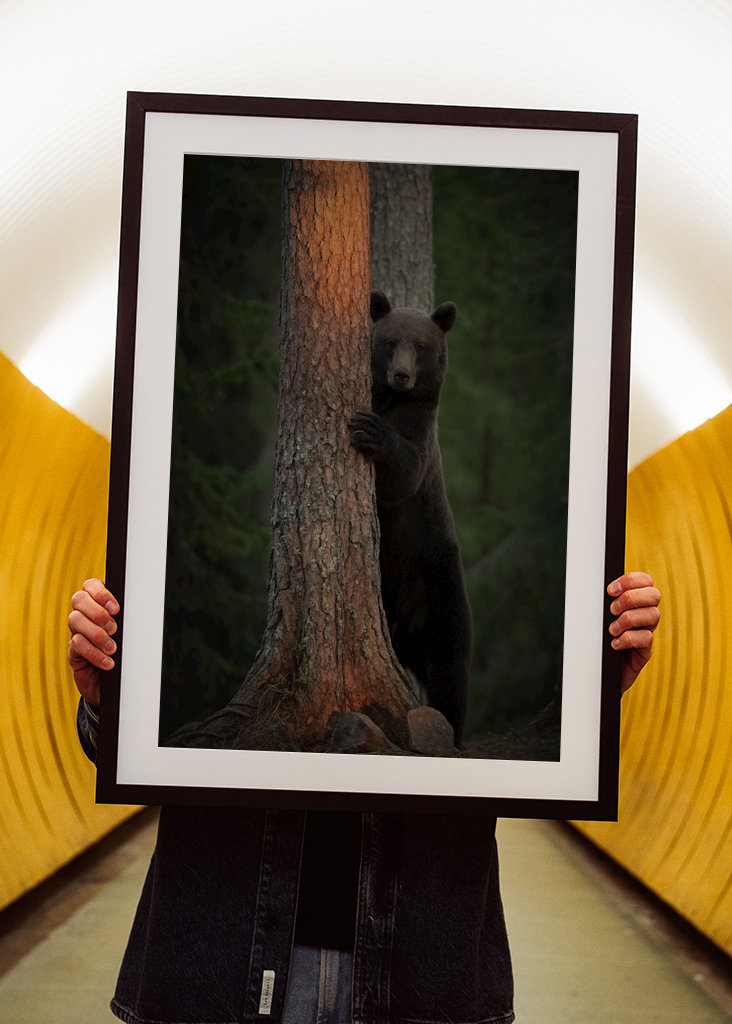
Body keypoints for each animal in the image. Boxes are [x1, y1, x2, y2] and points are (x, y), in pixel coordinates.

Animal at [349, 290, 472, 744]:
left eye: (420, 345)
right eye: (390, 342)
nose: (402, 375)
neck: (389, 399)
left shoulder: (418, 425)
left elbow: (402, 476)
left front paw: (370, 431)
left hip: (438, 584)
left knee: (449, 664)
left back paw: (450, 727)